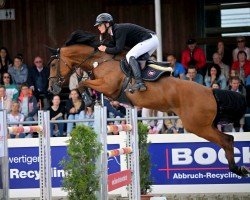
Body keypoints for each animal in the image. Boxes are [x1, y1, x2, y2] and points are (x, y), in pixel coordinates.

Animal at [47, 30, 250, 177]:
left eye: (52, 65)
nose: (52, 89)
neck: (100, 61)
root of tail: (210, 91)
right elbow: (85, 83)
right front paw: (94, 100)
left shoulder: (108, 86)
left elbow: (82, 83)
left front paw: (88, 99)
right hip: (206, 124)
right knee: (228, 139)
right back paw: (239, 169)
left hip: (197, 125)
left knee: (226, 140)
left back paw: (237, 169)